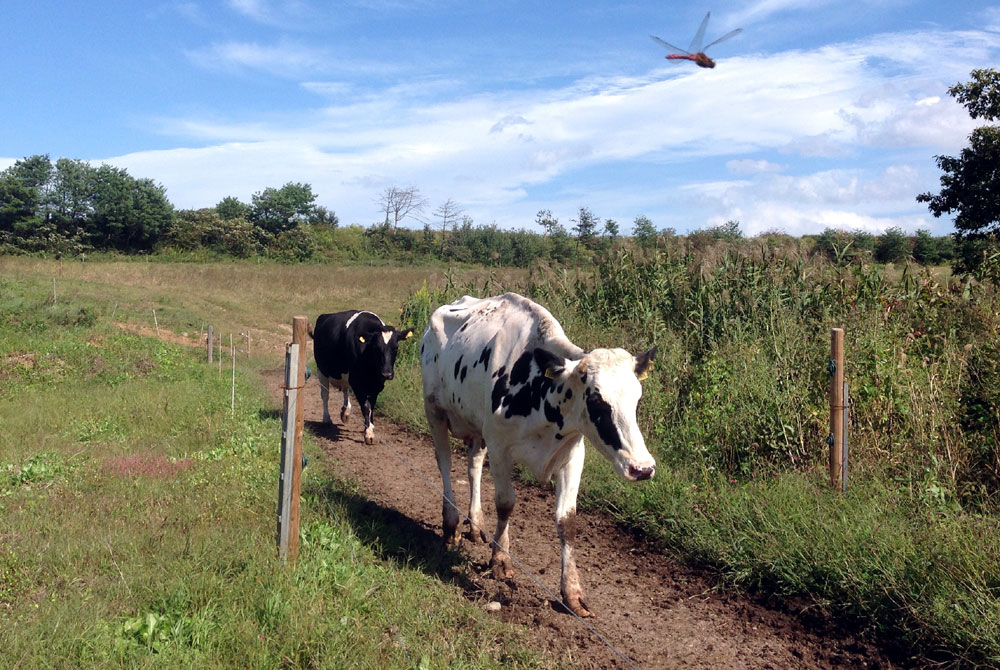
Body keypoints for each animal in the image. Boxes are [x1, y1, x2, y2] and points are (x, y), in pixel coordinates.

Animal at [308, 312, 410, 446]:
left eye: (396, 347)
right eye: (376, 347)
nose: (386, 374)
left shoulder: (377, 384)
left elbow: (372, 406)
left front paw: (370, 426)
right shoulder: (357, 383)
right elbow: (366, 407)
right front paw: (369, 434)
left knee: (345, 389)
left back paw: (345, 412)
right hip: (322, 370)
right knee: (325, 395)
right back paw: (327, 419)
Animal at [420, 294, 656, 620]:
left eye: (637, 398)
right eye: (596, 400)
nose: (642, 468)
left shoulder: (573, 455)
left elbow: (567, 521)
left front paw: (572, 592)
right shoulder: (500, 447)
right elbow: (506, 504)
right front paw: (500, 560)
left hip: (477, 430)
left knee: (473, 467)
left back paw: (476, 524)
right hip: (435, 412)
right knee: (444, 462)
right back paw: (451, 523)